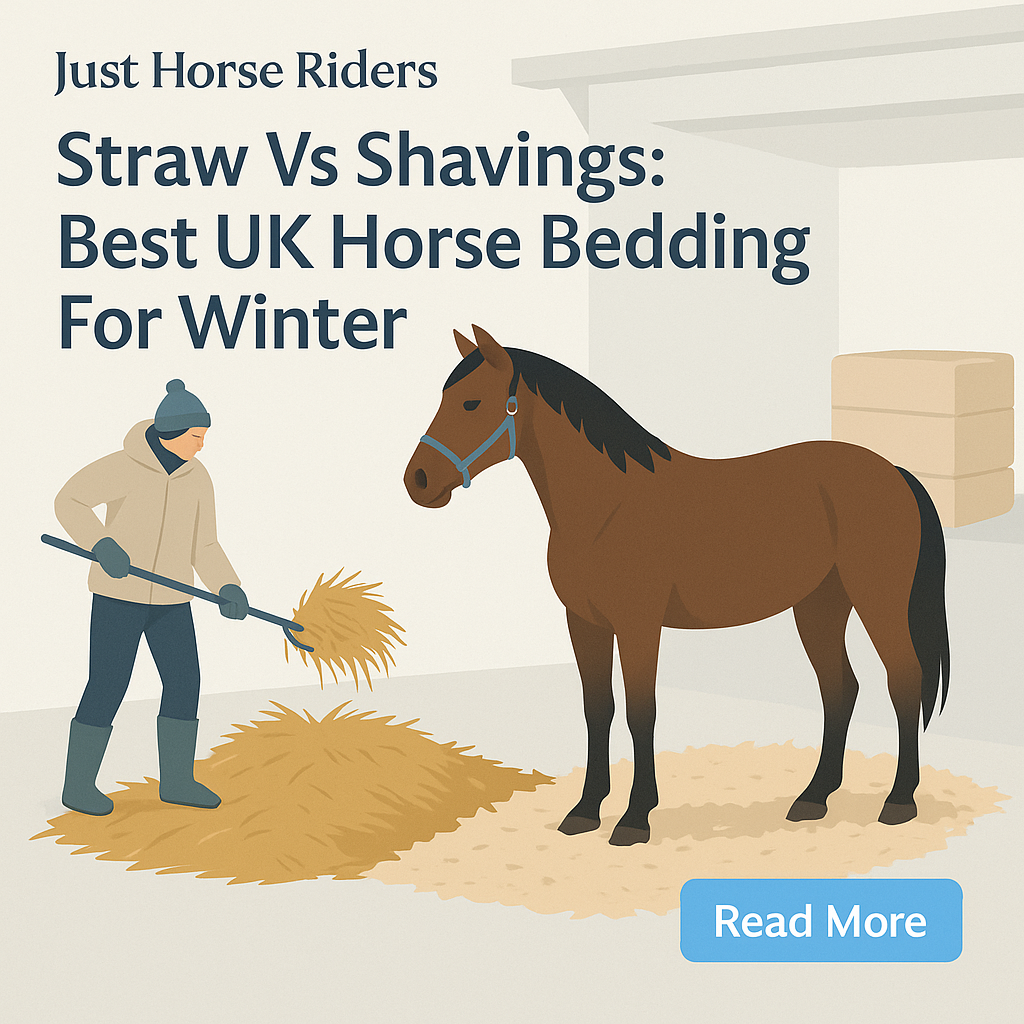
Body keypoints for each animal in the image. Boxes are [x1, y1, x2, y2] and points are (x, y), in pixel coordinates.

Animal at [403, 325, 950, 847]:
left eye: (472, 402)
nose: (419, 480)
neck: (606, 504)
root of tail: (894, 472)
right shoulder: (584, 623)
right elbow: (597, 709)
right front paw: (584, 811)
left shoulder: (638, 625)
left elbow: (640, 712)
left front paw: (634, 818)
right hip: (819, 606)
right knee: (839, 688)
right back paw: (813, 798)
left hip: (877, 602)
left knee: (903, 680)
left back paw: (898, 801)